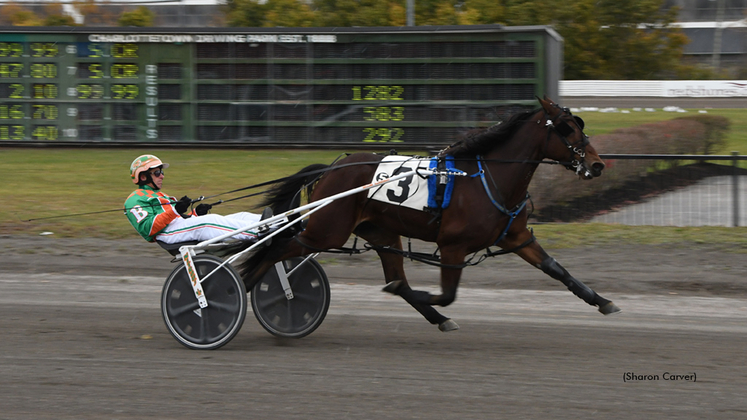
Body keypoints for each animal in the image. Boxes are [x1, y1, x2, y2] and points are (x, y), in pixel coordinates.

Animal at [240, 97, 620, 332]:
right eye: (567, 128)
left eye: (579, 125)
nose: (597, 164)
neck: (488, 178)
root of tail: (331, 169)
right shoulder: (453, 246)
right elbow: (447, 294)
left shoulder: (517, 236)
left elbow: (557, 270)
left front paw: (603, 301)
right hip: (326, 230)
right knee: (278, 247)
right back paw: (237, 288)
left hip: (381, 232)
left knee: (397, 278)